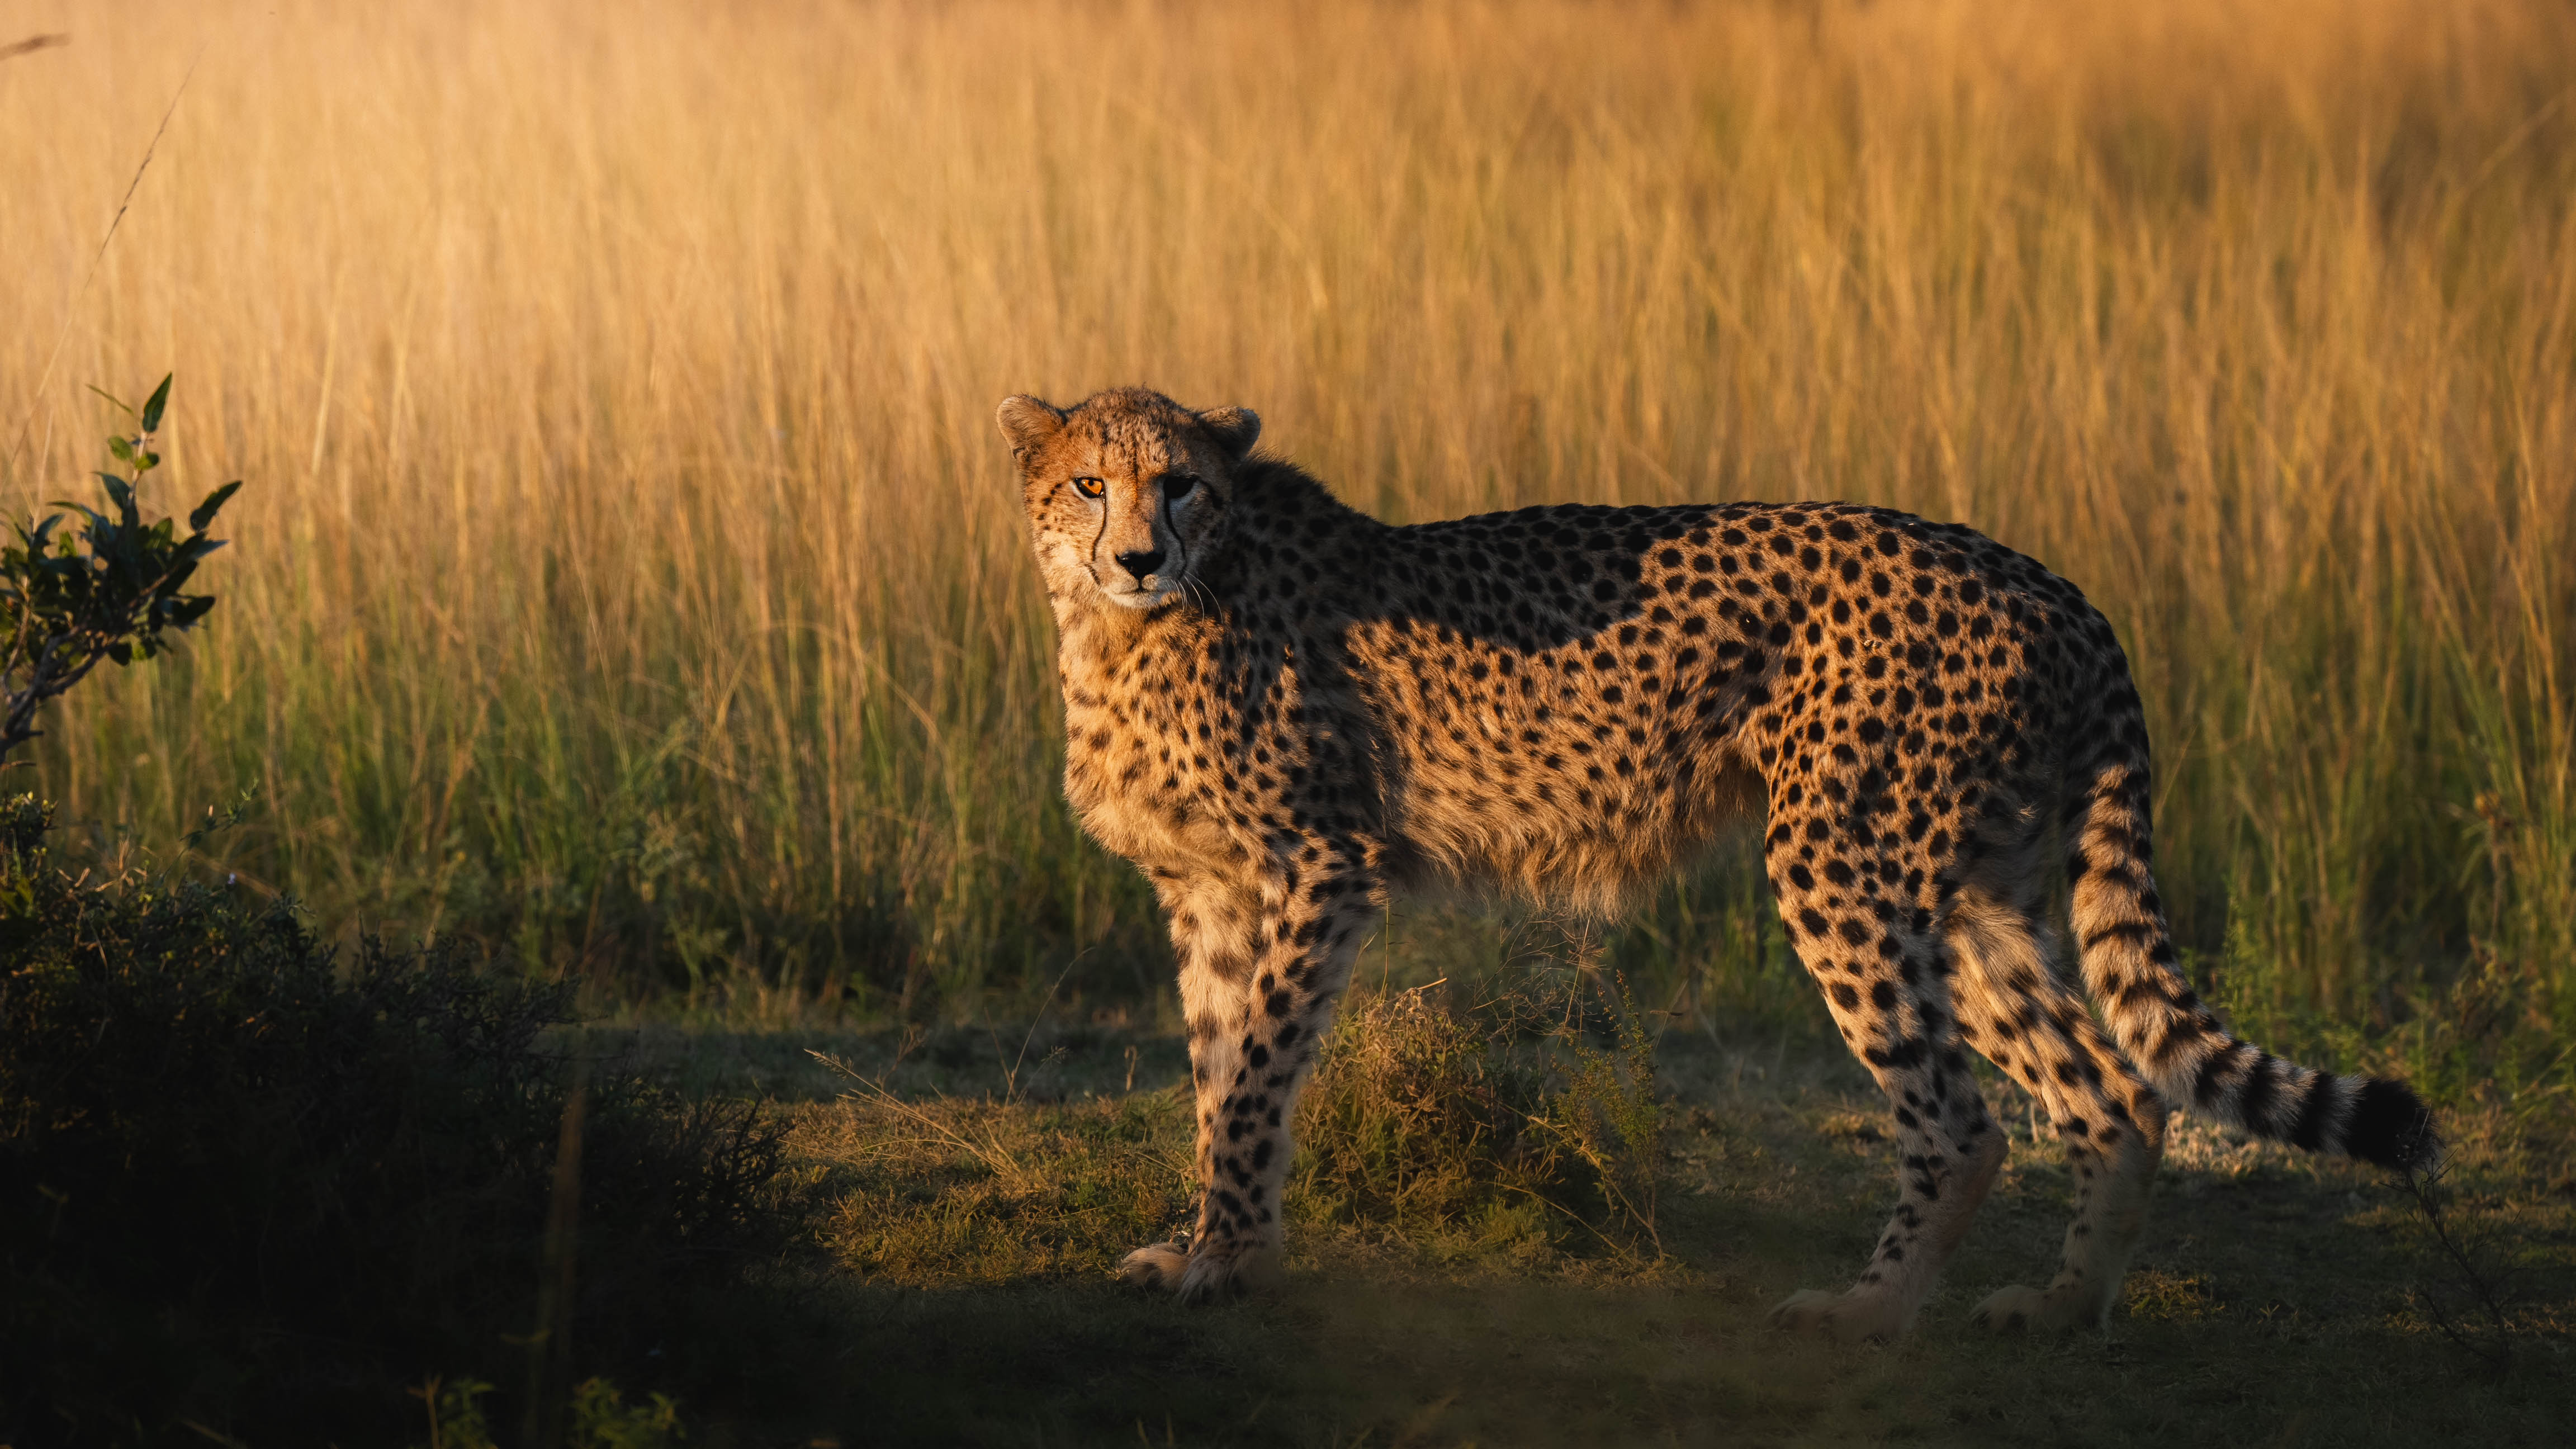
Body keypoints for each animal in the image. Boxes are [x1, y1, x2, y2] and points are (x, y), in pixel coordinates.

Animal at [995, 385, 2438, 1341]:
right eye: (1089, 484)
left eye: (1182, 483)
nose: (1139, 552)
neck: (1138, 624)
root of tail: (2047, 579)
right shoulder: (1210, 896)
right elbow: (1212, 1075)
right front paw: (1203, 1242)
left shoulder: (1316, 867)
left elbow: (1251, 1082)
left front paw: (1229, 1260)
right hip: (1972, 891)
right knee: (2115, 1093)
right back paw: (2060, 1304)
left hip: (1844, 860)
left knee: (1962, 1119)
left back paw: (1870, 1309)